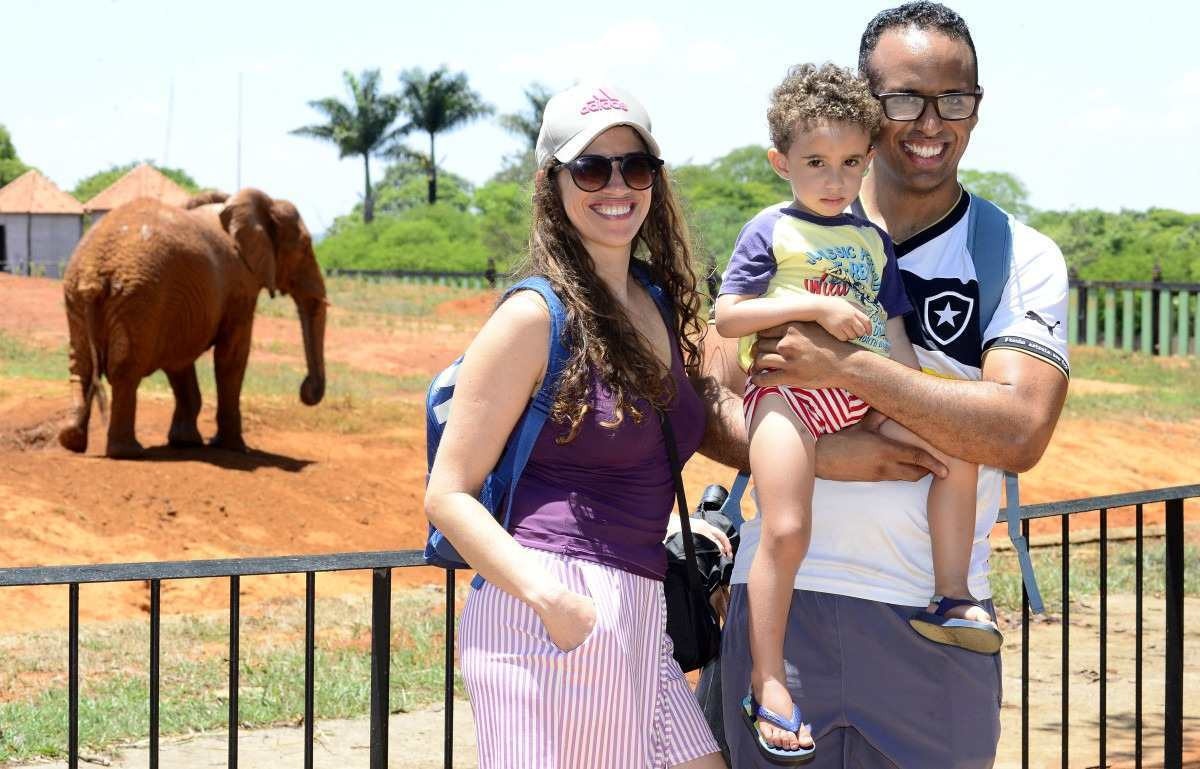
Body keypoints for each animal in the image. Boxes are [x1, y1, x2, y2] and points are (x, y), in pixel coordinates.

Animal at [58, 188, 326, 458]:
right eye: (305, 246)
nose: (306, 390)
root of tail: (93, 272)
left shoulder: (179, 307)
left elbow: (180, 360)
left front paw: (185, 442)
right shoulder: (240, 287)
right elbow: (231, 358)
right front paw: (236, 448)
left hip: (79, 295)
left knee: (80, 364)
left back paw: (72, 440)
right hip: (137, 297)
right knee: (124, 368)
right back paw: (128, 451)